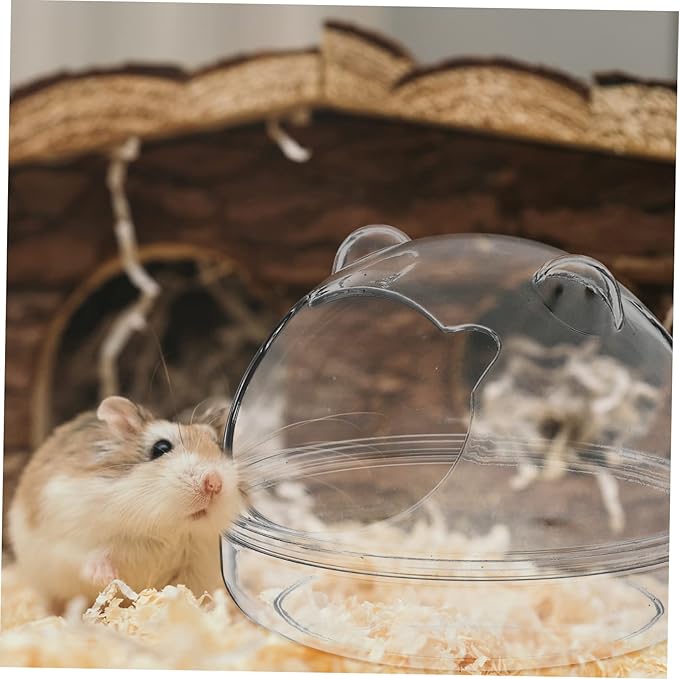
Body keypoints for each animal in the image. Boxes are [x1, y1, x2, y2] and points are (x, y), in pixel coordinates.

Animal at [9, 396, 244, 612]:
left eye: (218, 446)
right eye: (161, 448)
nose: (214, 483)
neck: (165, 528)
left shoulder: (196, 567)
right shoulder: (69, 536)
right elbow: (87, 557)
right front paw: (107, 577)